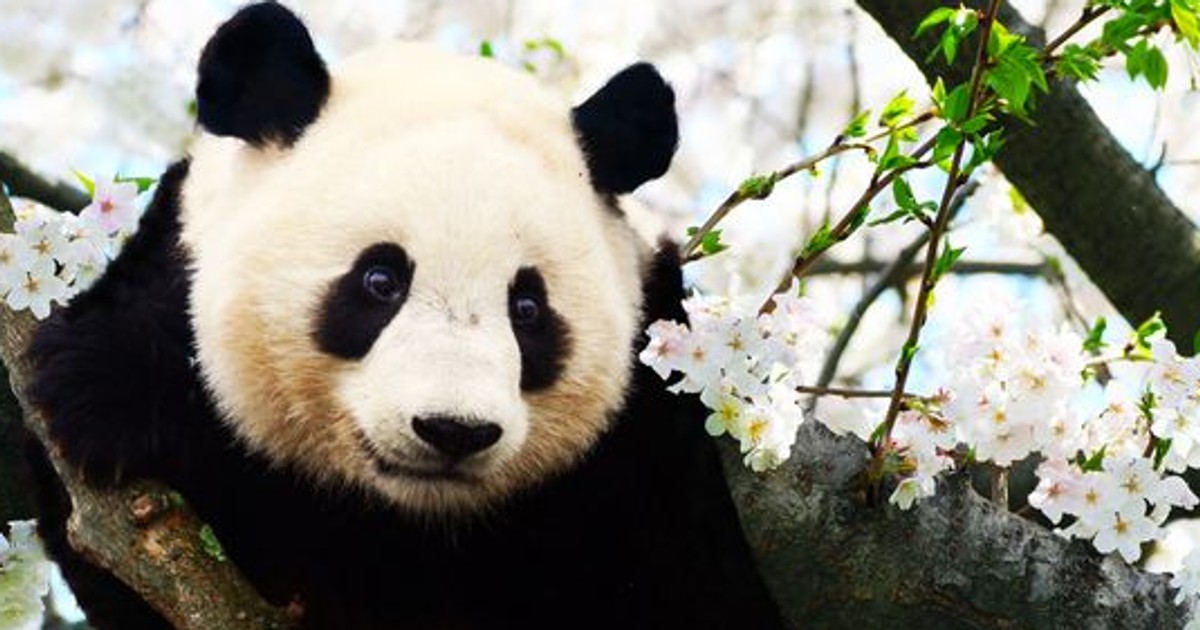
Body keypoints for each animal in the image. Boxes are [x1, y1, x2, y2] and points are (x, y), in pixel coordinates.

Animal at [26, 3, 784, 629]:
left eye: (528, 308)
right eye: (380, 280)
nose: (453, 430)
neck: (407, 521)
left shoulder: (645, 439)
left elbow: (694, 580)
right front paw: (105, 401)